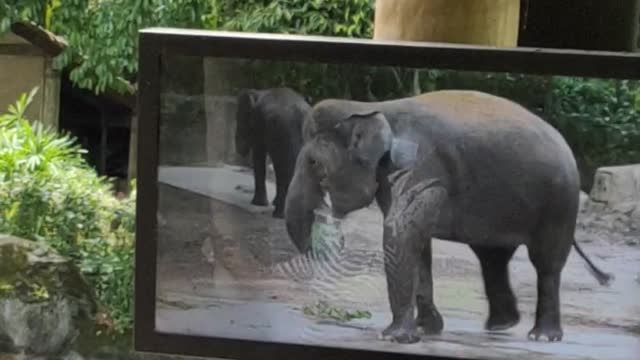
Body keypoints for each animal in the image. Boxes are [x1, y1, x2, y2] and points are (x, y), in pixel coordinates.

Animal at [236, 86, 314, 219]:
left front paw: (258, 204)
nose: (239, 150)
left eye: (239, 120)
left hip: (284, 133)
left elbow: (259, 155)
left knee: (284, 169)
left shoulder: (258, 123)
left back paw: (280, 215)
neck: (259, 91)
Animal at [282, 89, 612, 344]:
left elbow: (400, 233)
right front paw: (425, 329)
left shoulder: (418, 166)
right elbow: (416, 242)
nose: (333, 236)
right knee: (492, 258)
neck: (368, 107)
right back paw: (500, 325)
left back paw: (541, 336)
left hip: (559, 203)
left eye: (314, 163)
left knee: (545, 264)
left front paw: (393, 337)